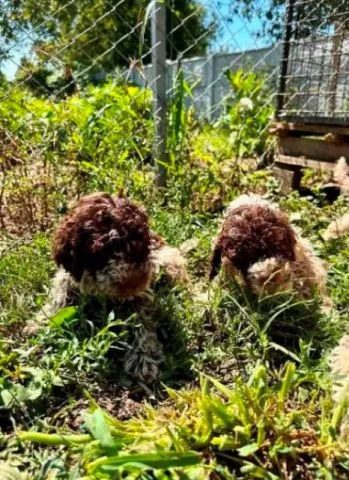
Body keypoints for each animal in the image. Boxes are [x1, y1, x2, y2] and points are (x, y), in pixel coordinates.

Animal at [37, 192, 189, 382]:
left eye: (139, 245)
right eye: (101, 252)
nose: (134, 282)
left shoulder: (141, 295)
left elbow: (141, 324)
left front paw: (143, 358)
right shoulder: (69, 278)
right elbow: (60, 294)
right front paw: (43, 320)